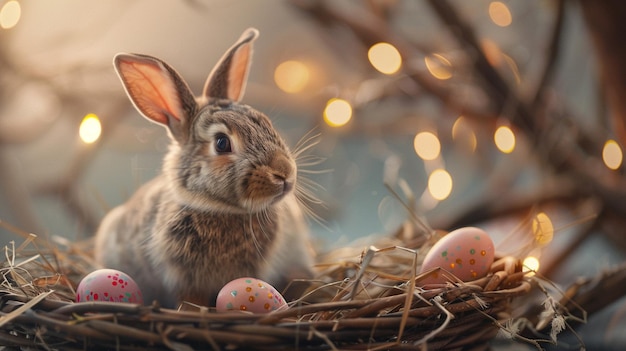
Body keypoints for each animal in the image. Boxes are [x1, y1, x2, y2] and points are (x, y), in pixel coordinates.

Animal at [93, 28, 314, 308]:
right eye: (221, 143)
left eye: (266, 123)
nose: (284, 173)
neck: (221, 210)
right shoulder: (183, 278)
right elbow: (189, 300)